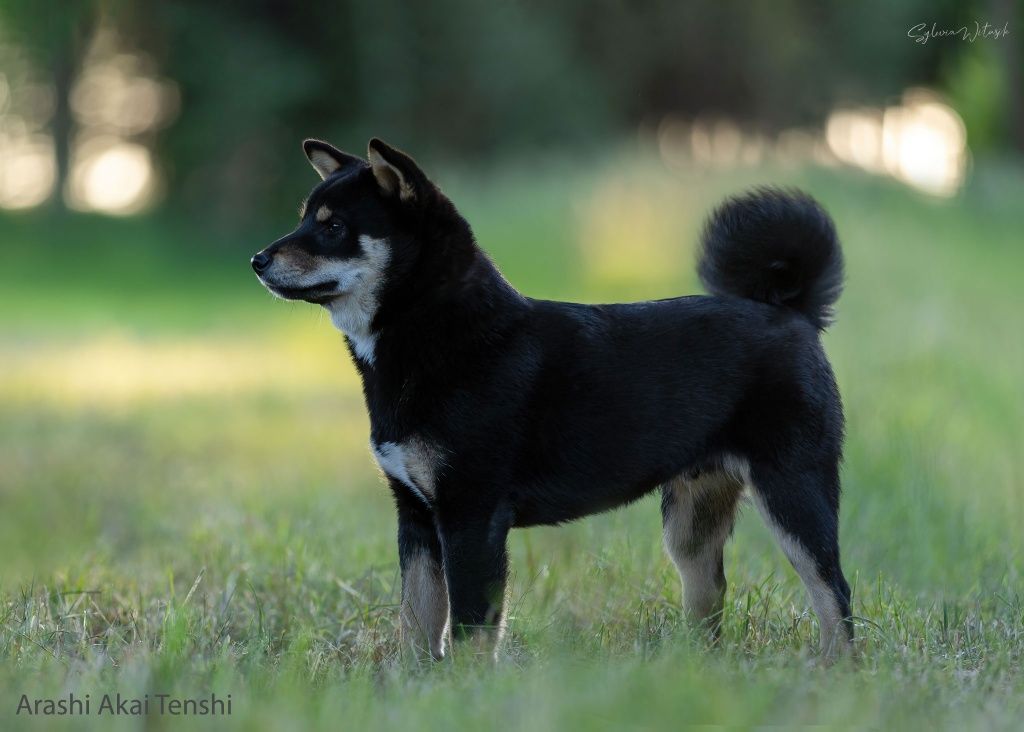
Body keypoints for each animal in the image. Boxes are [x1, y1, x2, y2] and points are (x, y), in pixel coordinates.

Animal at [251, 137, 851, 659]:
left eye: (333, 227)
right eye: (306, 218)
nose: (258, 259)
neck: (445, 335)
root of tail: (792, 312)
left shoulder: (471, 516)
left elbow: (470, 633)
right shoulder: (417, 518)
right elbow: (416, 626)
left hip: (792, 491)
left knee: (835, 596)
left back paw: (833, 673)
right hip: (690, 524)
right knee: (714, 598)